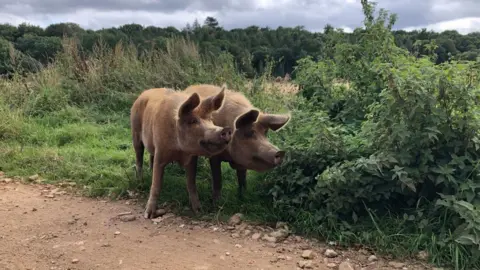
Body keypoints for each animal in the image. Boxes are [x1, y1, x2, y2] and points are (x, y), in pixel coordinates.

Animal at [129, 86, 231, 217]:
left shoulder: (191, 158)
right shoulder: (160, 152)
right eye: (192, 121)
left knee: (150, 156)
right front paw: (148, 215)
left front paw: (199, 211)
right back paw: (140, 182)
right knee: (139, 158)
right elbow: (156, 185)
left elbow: (191, 184)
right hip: (135, 133)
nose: (226, 129)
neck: (178, 150)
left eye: (210, 119)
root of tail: (142, 94)